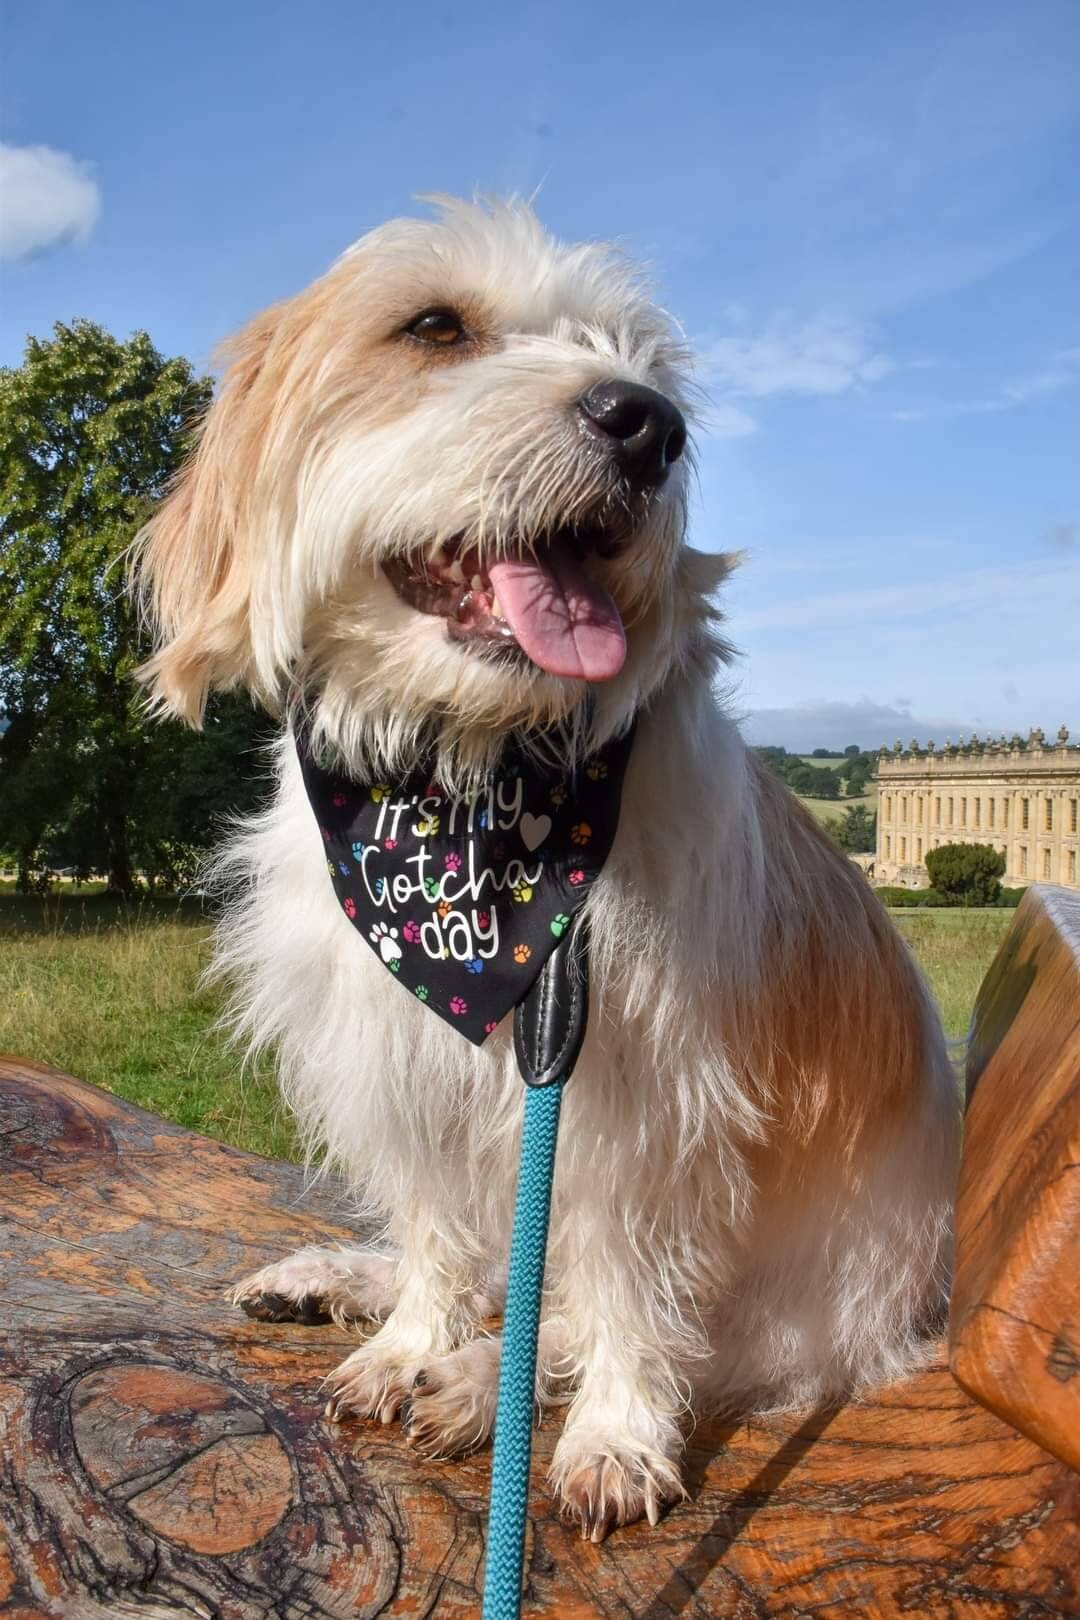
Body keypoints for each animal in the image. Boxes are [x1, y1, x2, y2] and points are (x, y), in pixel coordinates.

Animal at [137, 196, 965, 1535]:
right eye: (433, 327)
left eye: (644, 363)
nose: (650, 424)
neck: (469, 782)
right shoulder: (400, 1062)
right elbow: (436, 1235)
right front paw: (406, 1338)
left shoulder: (643, 1104)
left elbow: (622, 1290)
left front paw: (612, 1435)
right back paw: (352, 1290)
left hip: (805, 1315)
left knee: (593, 1322)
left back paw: (485, 1386)